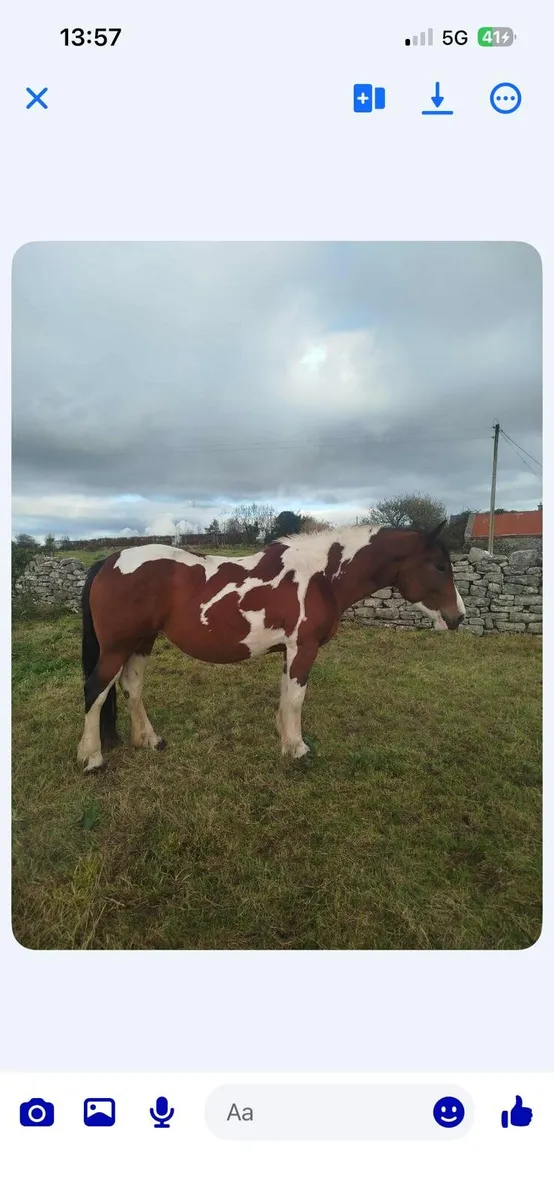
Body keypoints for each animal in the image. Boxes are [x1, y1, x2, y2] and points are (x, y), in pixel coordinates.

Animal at [77, 520, 465, 773]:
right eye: (439, 565)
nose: (458, 617)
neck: (320, 576)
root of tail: (109, 561)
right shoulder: (304, 648)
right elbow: (296, 698)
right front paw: (297, 749)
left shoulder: (290, 651)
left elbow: (285, 695)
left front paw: (284, 738)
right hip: (116, 647)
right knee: (96, 690)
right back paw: (92, 758)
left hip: (141, 642)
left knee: (131, 687)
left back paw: (149, 740)